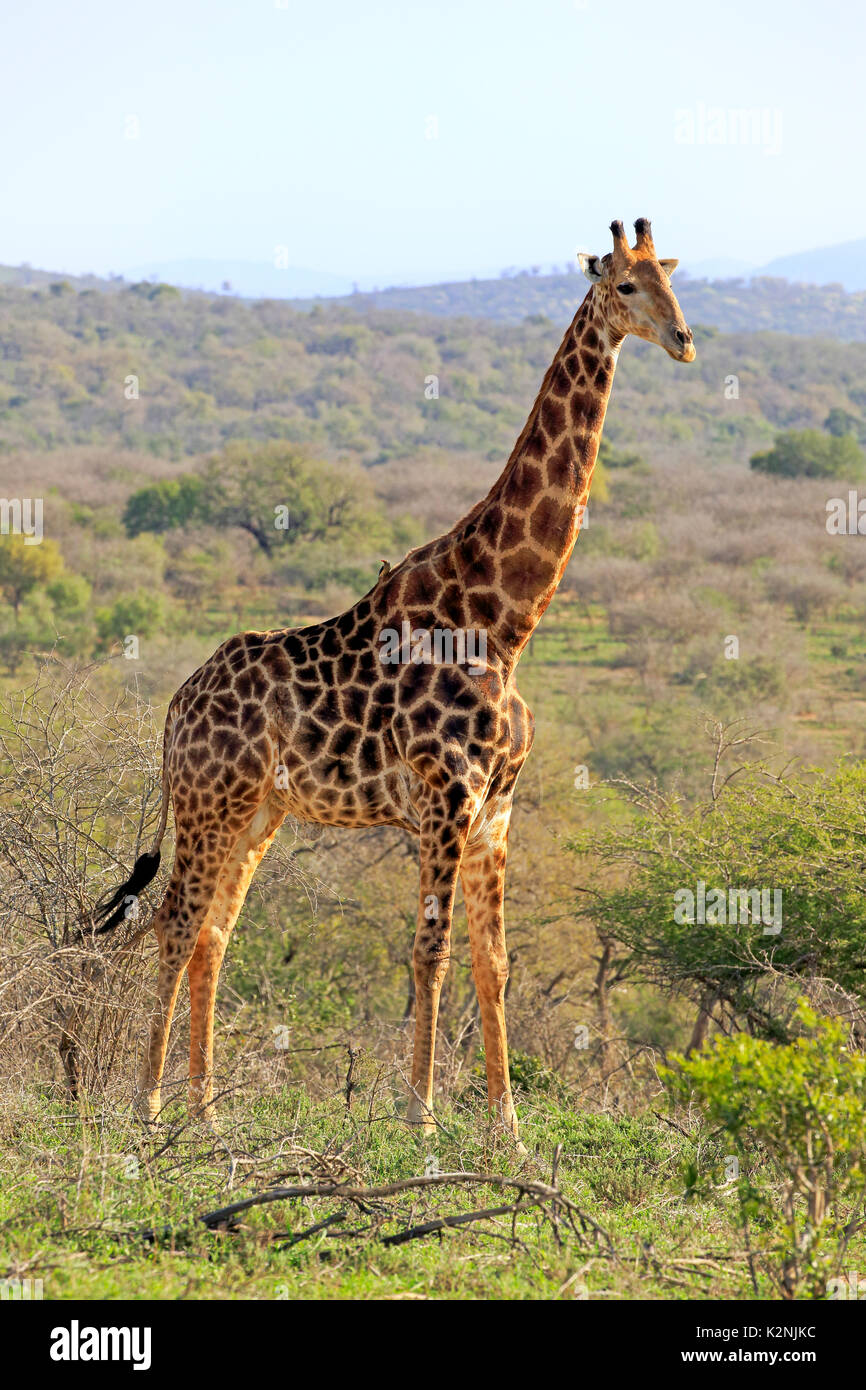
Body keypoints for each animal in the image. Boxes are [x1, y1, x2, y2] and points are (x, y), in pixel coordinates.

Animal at [100, 211, 697, 1134]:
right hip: (208, 801)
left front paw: (507, 1127)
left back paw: (205, 1112)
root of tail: (173, 708)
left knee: (212, 932)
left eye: (675, 281)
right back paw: (150, 1105)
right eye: (627, 286)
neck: (505, 618)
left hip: (259, 810)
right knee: (173, 920)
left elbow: (495, 962)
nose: (684, 340)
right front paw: (420, 1115)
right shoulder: (446, 798)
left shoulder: (497, 807)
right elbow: (431, 951)